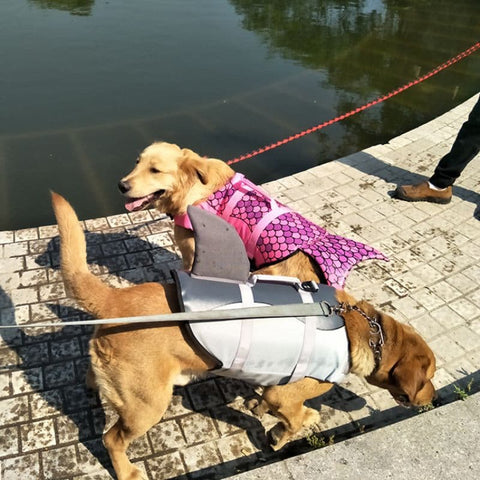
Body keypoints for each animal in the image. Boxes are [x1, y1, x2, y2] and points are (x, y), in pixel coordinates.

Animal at [51, 191, 436, 480]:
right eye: (429, 376)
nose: (431, 399)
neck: (361, 329)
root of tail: (113, 300)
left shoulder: (274, 384)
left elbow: (267, 401)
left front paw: (261, 409)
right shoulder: (288, 394)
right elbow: (294, 418)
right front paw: (289, 431)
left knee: (93, 380)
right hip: (147, 405)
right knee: (111, 439)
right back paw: (126, 470)